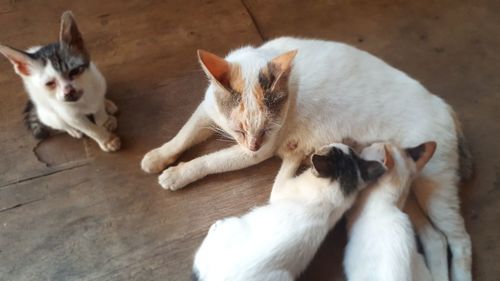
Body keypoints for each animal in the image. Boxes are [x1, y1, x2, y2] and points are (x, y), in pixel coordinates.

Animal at [0, 10, 120, 151]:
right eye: (50, 84)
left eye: (74, 71)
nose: (69, 91)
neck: (83, 100)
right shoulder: (70, 115)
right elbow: (90, 129)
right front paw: (106, 139)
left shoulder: (95, 83)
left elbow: (99, 109)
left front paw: (104, 121)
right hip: (48, 114)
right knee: (59, 122)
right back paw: (73, 130)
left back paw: (107, 104)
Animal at [192, 143, 386, 278]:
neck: (331, 197)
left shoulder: (279, 190)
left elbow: (285, 169)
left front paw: (294, 153)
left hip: (233, 226)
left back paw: (215, 225)